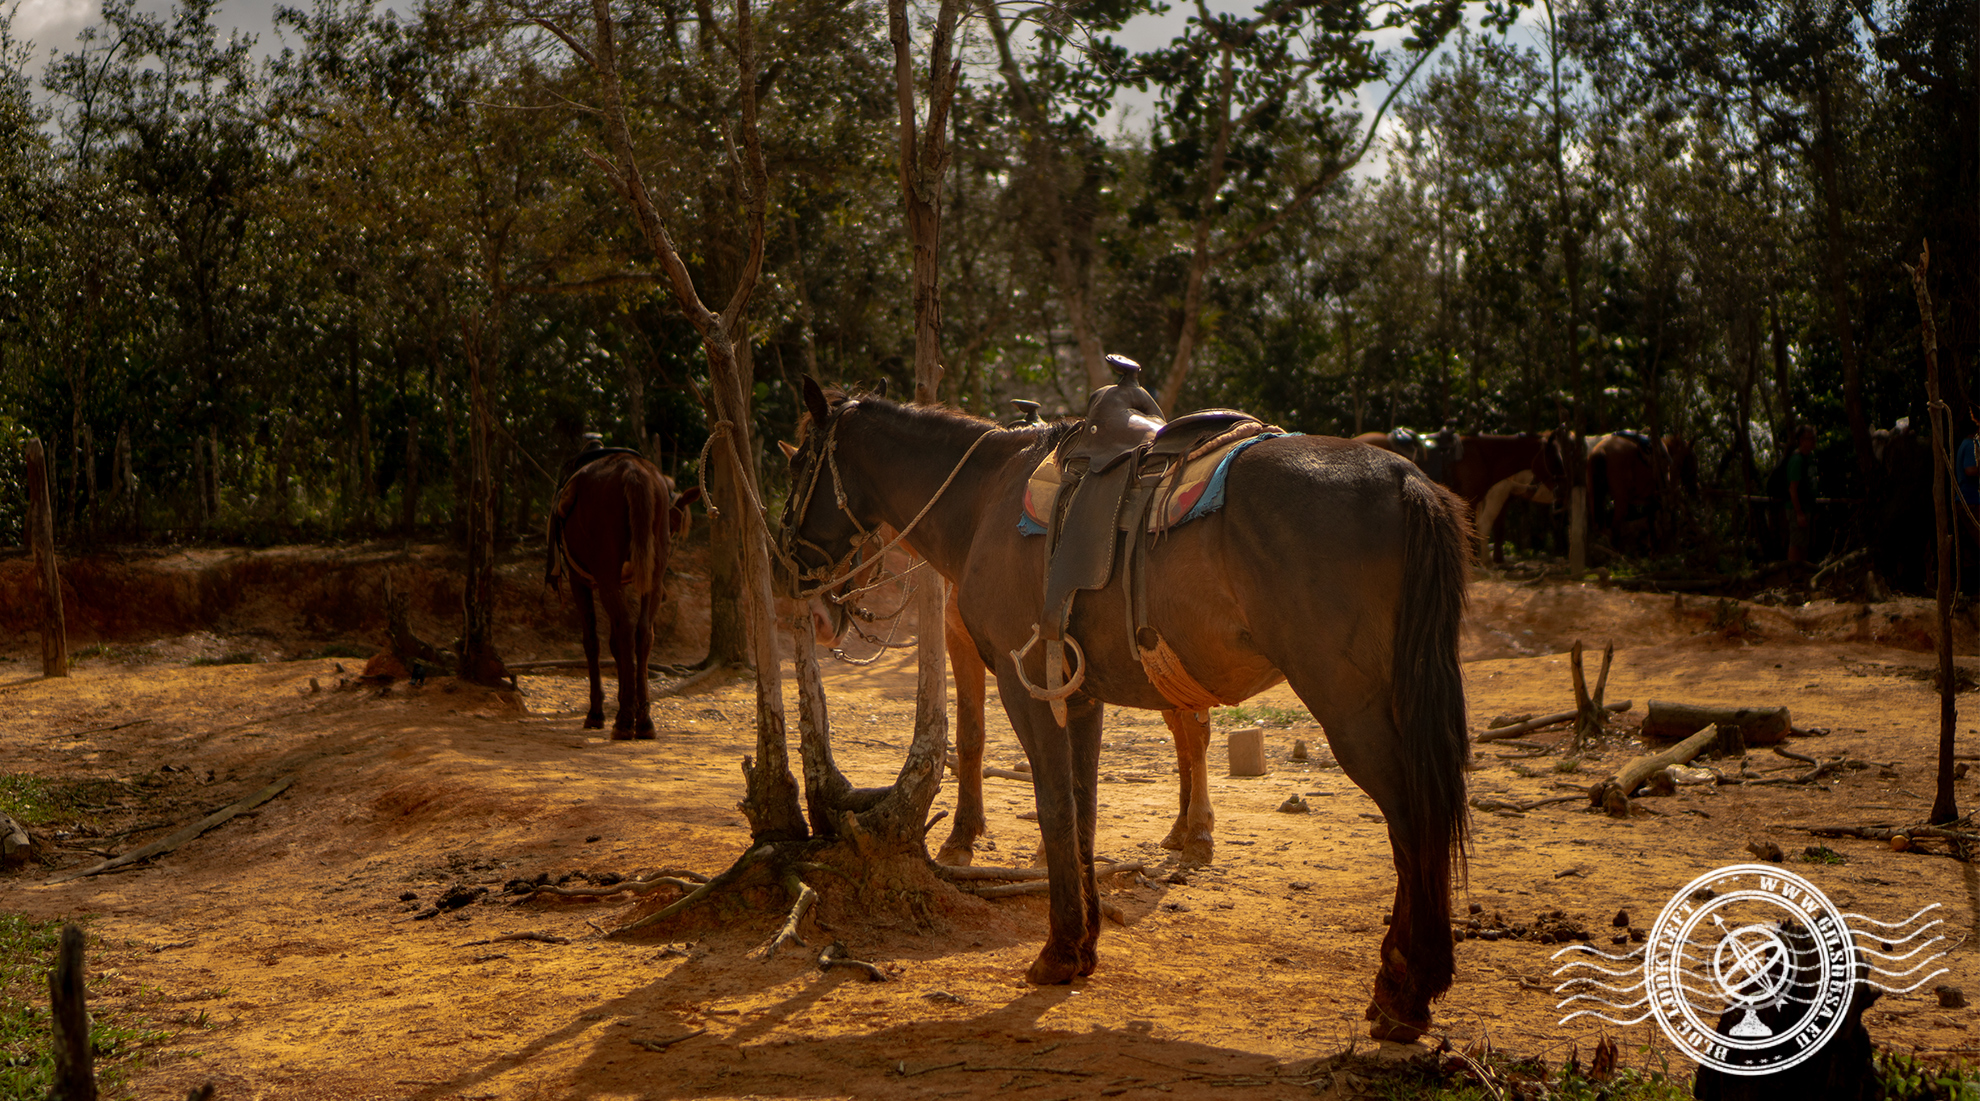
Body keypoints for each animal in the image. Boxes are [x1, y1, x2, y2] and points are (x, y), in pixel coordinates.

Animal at [546, 447, 700, 740]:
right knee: (642, 633)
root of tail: (632, 470)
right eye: (673, 523)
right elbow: (617, 644)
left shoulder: (581, 581)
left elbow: (593, 642)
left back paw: (625, 721)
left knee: (626, 629)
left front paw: (596, 712)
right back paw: (643, 720)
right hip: (651, 578)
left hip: (605, 576)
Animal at [780, 380, 1481, 1037]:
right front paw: (1084, 945)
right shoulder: (1079, 694)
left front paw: (1060, 950)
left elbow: (1054, 810)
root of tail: (1403, 478)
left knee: (1412, 819)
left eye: (798, 466)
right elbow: (1083, 815)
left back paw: (1406, 992)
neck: (983, 501)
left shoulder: (1025, 685)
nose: (801, 591)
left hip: (1348, 703)